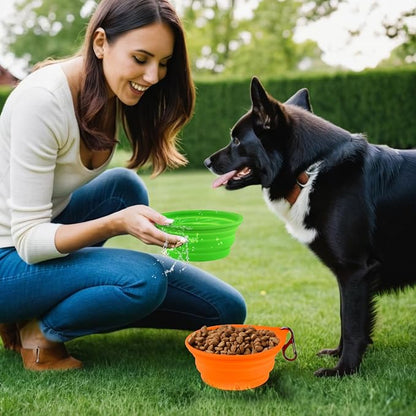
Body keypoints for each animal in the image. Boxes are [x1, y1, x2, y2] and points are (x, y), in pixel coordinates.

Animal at [205, 77, 416, 376]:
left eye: (236, 140)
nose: (206, 162)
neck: (309, 170)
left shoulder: (355, 272)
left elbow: (353, 326)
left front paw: (343, 370)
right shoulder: (347, 276)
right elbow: (344, 317)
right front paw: (338, 355)